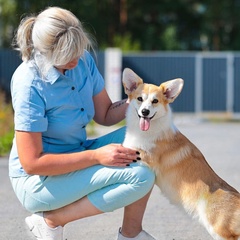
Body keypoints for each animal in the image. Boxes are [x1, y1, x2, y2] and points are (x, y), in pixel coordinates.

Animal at [123, 67, 240, 240]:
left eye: (155, 101)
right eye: (139, 98)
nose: (145, 111)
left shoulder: (147, 156)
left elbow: (126, 148)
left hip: (218, 229)